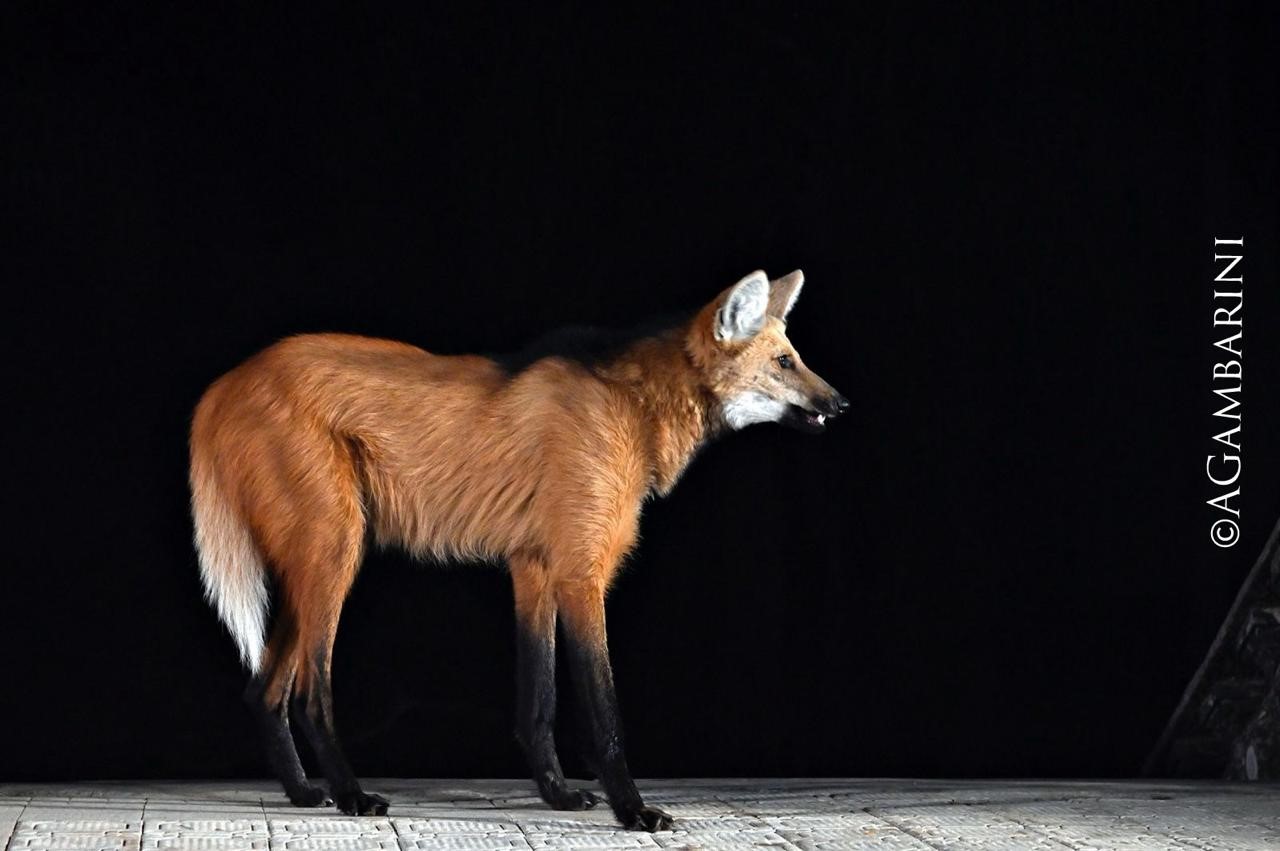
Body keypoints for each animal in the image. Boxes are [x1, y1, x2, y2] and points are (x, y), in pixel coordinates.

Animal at [189, 270, 844, 829]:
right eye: (785, 362)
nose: (841, 403)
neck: (634, 409)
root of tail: (223, 384)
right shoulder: (581, 574)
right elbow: (604, 712)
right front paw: (632, 810)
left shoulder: (535, 566)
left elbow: (539, 700)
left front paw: (557, 795)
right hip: (334, 553)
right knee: (307, 693)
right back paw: (352, 795)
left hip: (312, 563)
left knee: (263, 690)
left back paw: (304, 792)